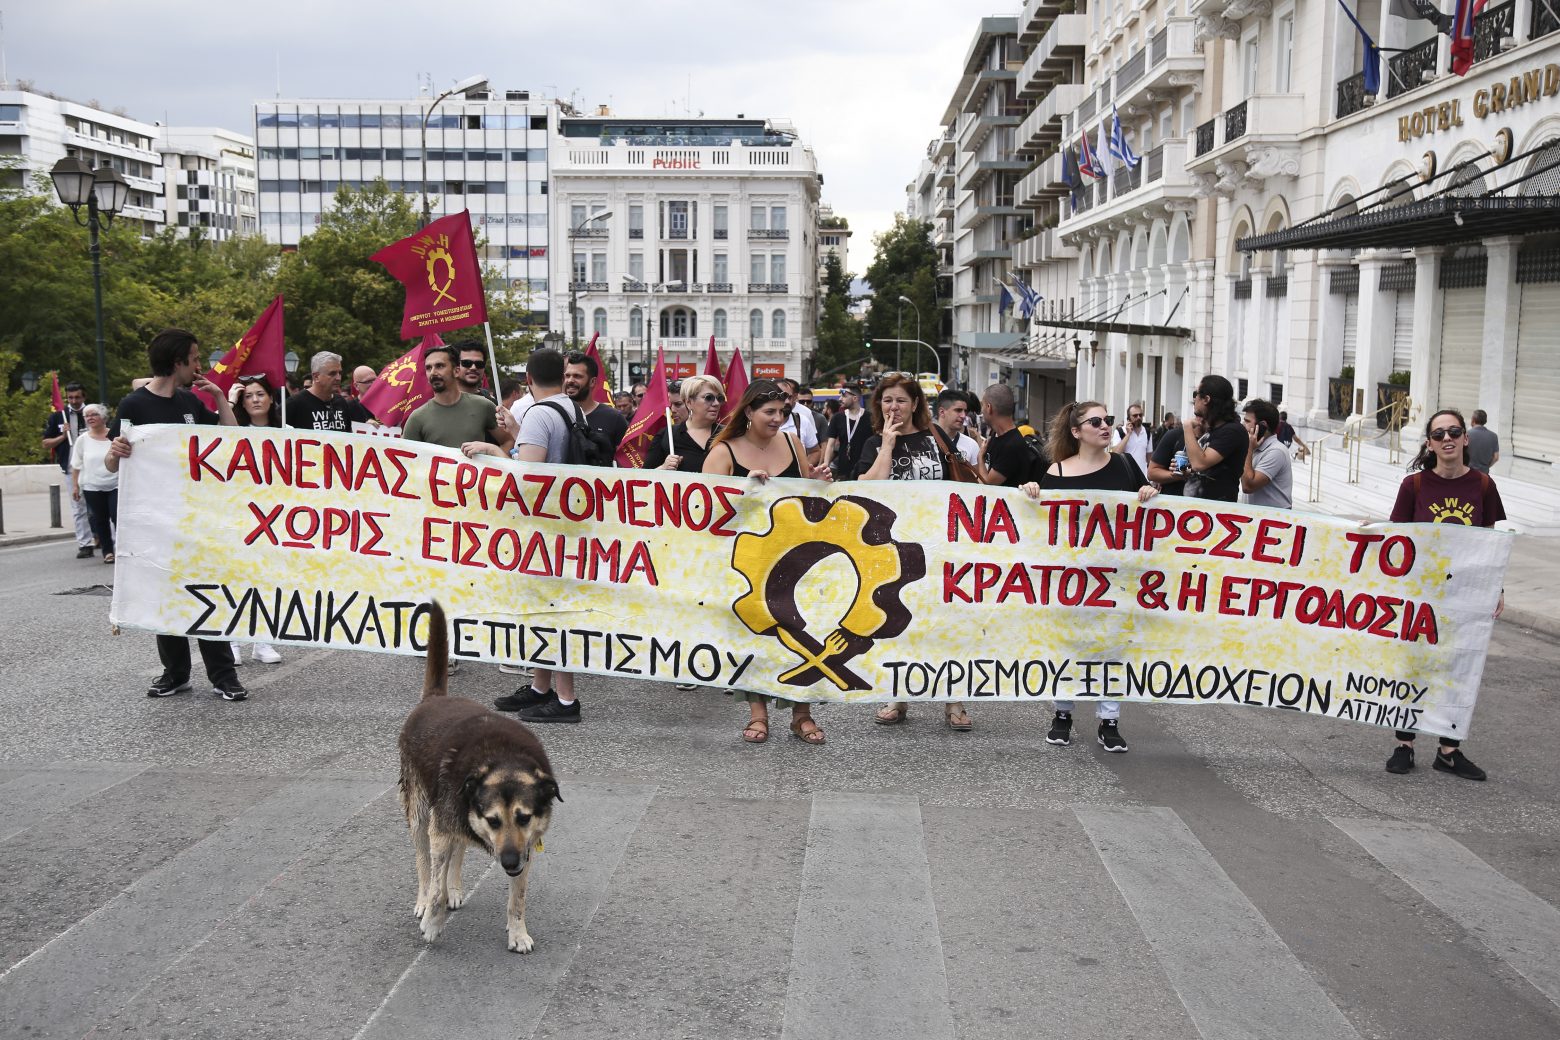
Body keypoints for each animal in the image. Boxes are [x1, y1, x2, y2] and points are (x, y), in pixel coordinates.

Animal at [396, 601, 561, 954]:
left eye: (524, 818)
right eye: (493, 820)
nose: (509, 862)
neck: (503, 759)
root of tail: (434, 698)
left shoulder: (526, 846)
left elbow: (517, 899)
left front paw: (517, 933)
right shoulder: (442, 829)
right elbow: (436, 885)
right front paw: (432, 922)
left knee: (457, 849)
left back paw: (456, 889)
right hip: (420, 812)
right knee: (424, 861)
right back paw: (424, 899)